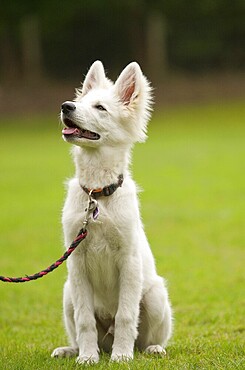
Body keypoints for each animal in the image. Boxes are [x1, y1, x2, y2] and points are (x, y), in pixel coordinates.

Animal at [51, 61, 172, 364]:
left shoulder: (128, 261)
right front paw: (87, 358)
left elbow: (127, 315)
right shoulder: (76, 263)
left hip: (155, 295)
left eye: (100, 108)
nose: (66, 106)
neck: (97, 196)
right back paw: (73, 350)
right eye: (81, 101)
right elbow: (84, 320)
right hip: (68, 293)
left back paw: (150, 349)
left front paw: (122, 356)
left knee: (144, 338)